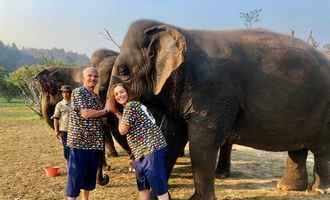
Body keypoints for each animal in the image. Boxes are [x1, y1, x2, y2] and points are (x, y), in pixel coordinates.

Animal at [108, 19, 330, 200]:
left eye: (123, 71)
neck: (180, 31)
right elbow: (172, 136)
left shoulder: (212, 90)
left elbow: (202, 141)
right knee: (298, 148)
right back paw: (287, 189)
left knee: (321, 150)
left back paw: (320, 190)